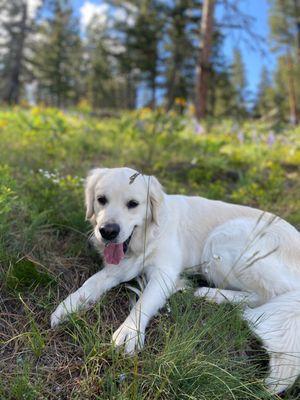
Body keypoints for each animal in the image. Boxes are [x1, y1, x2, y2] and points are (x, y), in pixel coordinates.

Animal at [51, 166, 300, 394]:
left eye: (133, 204)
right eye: (101, 200)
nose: (108, 231)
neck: (144, 237)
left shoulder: (164, 272)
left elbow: (144, 303)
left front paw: (129, 332)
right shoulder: (119, 266)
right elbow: (91, 283)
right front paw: (68, 306)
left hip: (221, 239)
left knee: (265, 294)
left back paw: (209, 293)